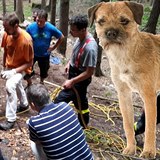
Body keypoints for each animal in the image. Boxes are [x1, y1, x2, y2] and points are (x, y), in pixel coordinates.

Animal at [88, 1, 160, 159]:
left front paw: (148, 151)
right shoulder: (123, 93)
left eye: (124, 21)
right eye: (101, 21)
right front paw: (130, 149)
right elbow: (127, 124)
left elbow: (150, 127)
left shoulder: (149, 96)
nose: (111, 33)